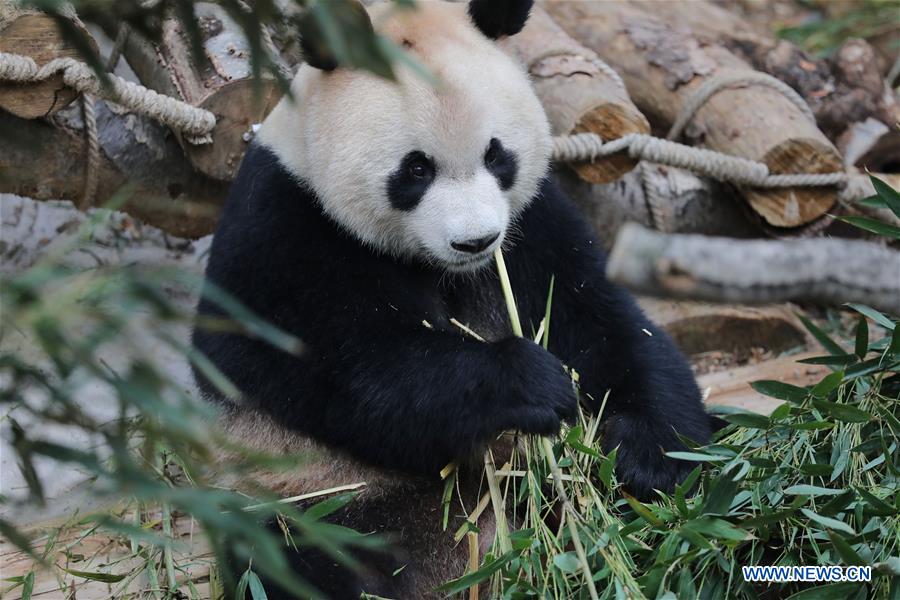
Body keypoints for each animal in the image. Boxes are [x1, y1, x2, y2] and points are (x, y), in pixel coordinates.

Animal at [192, 0, 712, 598]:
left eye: (497, 155)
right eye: (416, 168)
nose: (475, 241)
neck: (441, 268)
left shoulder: (532, 224)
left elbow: (604, 321)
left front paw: (649, 460)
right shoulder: (285, 224)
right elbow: (344, 365)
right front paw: (528, 382)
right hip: (318, 498)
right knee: (300, 562)